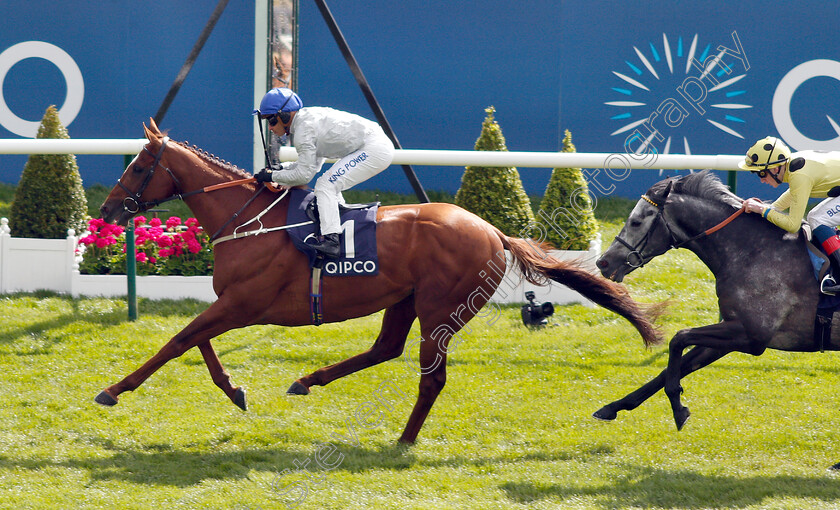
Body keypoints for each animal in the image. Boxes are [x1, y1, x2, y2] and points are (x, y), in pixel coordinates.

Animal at [93, 119, 664, 442]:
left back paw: (404, 439)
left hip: (439, 308)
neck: (249, 219)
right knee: (385, 348)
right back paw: (308, 381)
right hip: (404, 299)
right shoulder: (233, 304)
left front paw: (114, 390)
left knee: (430, 376)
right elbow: (198, 341)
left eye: (140, 165)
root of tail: (491, 230)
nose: (107, 208)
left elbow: (179, 340)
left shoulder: (243, 304)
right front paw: (234, 390)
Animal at [592, 170, 832, 434]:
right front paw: (613, 407)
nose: (603, 262)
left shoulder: (752, 335)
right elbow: (674, 366)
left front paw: (677, 406)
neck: (753, 251)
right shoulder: (732, 331)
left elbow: (679, 338)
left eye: (636, 221)